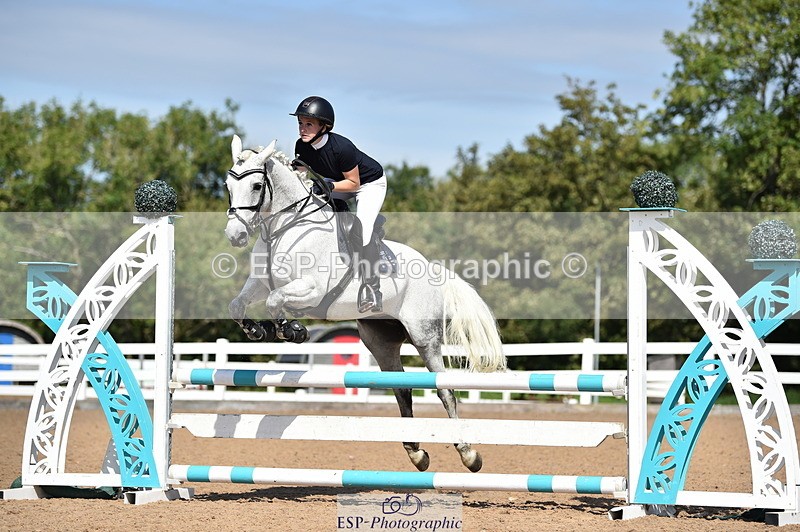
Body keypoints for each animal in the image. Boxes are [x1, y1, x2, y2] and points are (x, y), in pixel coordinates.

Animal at [223, 135, 505, 472]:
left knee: (444, 390)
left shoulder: (312, 289)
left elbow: (276, 301)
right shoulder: (260, 281)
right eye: (228, 185)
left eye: (256, 186)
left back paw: (469, 454)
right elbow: (238, 305)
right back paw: (416, 453)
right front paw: (257, 330)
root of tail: (433, 268)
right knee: (402, 389)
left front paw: (292, 330)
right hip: (379, 340)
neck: (287, 227)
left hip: (424, 337)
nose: (235, 235)